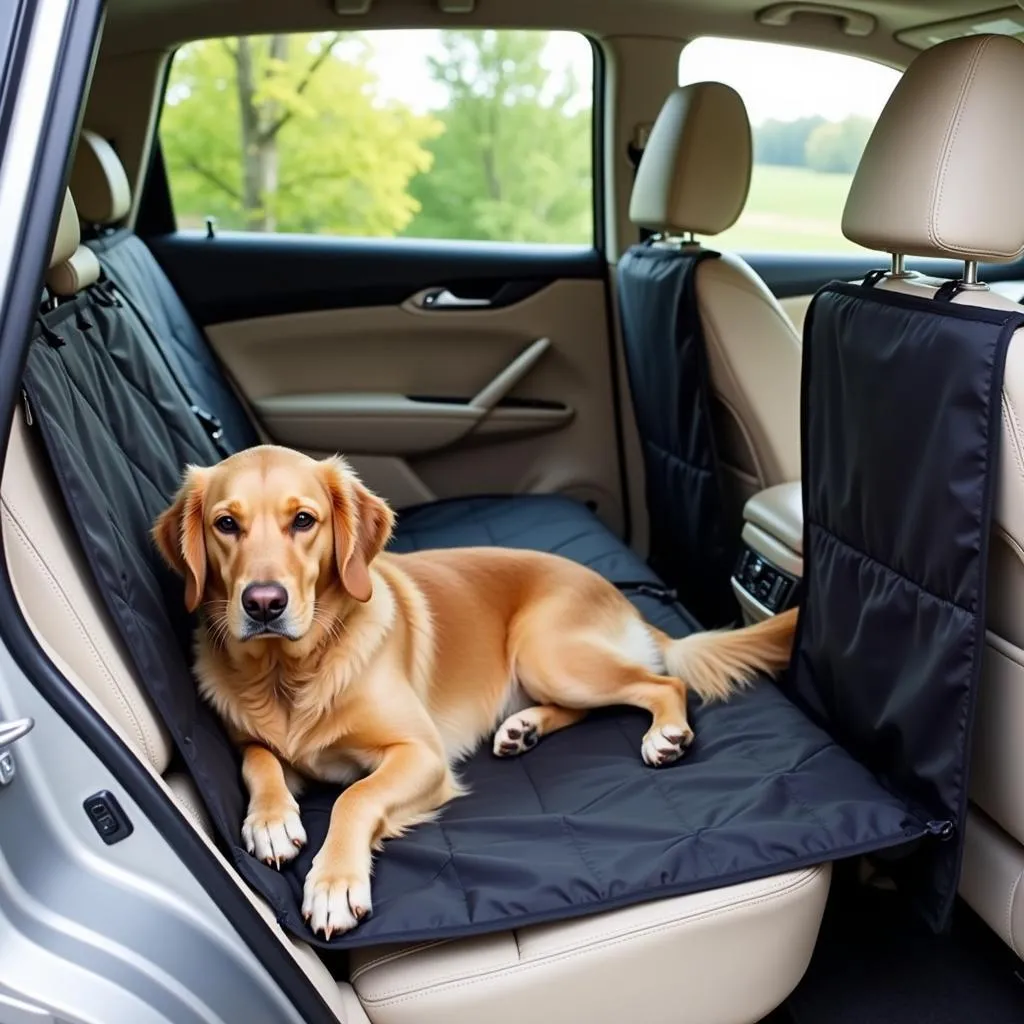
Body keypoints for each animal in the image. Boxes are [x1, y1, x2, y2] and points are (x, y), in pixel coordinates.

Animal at [153, 444, 798, 937]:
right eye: (227, 524)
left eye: (304, 521)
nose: (263, 604)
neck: (289, 673)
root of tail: (614, 591)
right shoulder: (253, 742)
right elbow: (260, 760)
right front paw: (270, 819)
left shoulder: (422, 755)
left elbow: (353, 797)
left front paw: (333, 882)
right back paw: (521, 729)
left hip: (548, 652)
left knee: (663, 681)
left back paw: (665, 734)